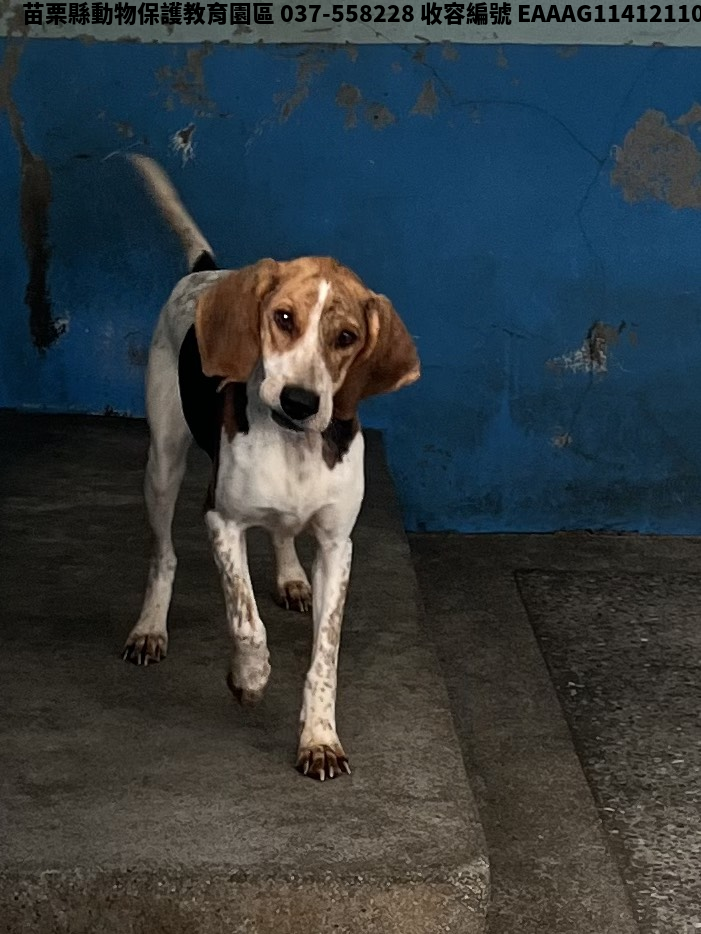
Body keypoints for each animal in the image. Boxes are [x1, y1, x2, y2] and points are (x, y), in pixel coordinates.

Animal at [123, 156, 420, 780]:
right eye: (283, 318)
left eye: (346, 337)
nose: (300, 402)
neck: (295, 446)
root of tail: (210, 272)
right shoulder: (221, 521)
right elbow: (246, 619)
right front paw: (250, 678)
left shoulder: (337, 546)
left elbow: (325, 656)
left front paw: (320, 737)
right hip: (162, 463)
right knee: (164, 555)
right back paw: (150, 627)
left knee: (282, 534)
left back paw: (289, 576)